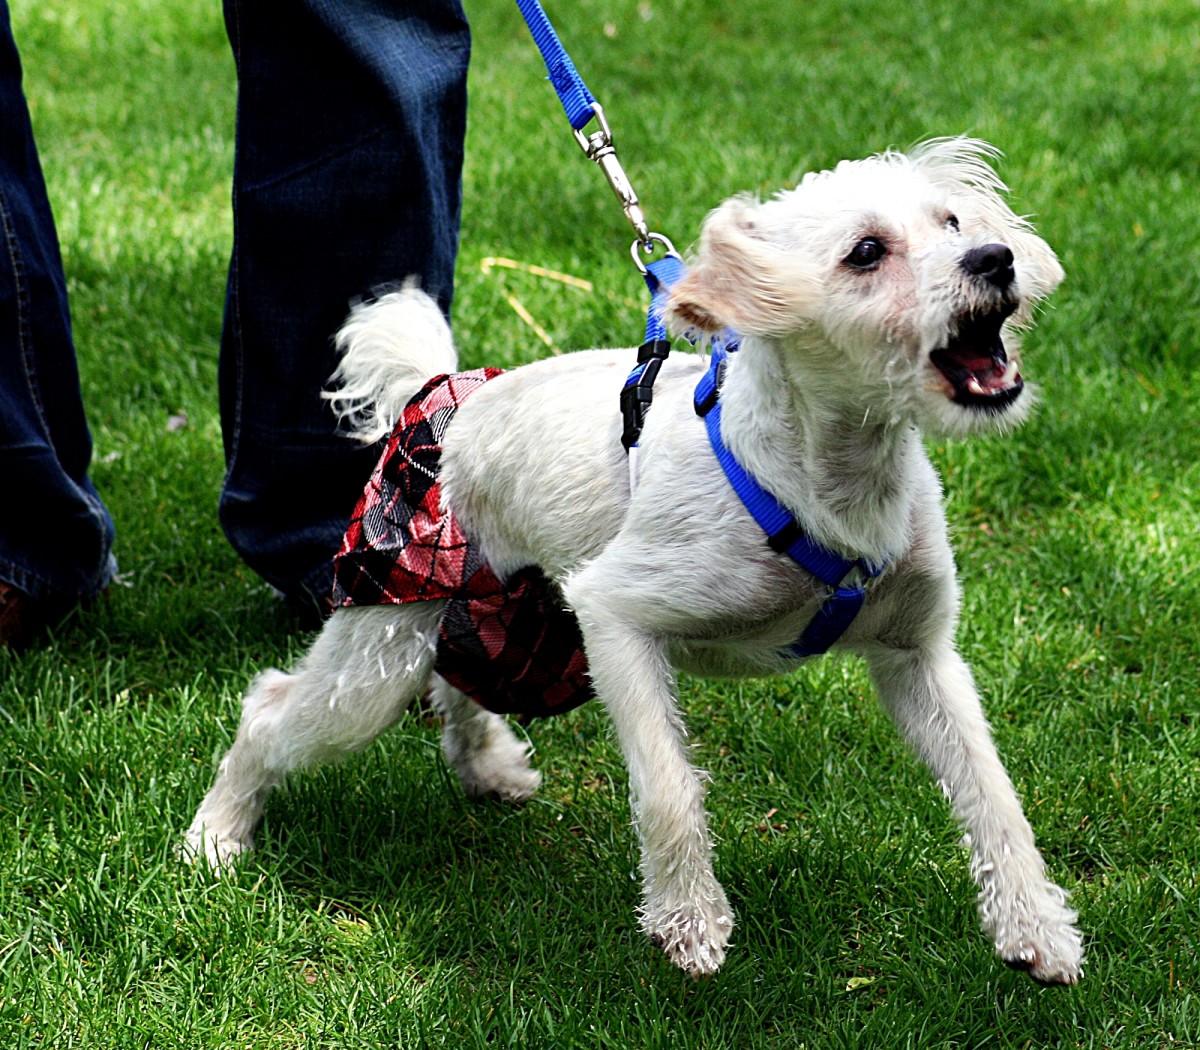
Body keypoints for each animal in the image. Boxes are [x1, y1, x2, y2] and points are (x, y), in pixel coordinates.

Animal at [187, 137, 1089, 984]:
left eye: (954, 222)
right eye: (865, 251)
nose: (995, 259)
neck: (825, 487)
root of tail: (440, 389)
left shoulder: (920, 657)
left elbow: (992, 788)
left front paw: (1036, 928)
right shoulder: (615, 617)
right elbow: (668, 786)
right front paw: (690, 923)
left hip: (509, 627)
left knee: (456, 679)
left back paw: (485, 765)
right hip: (383, 645)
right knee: (269, 710)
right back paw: (215, 839)